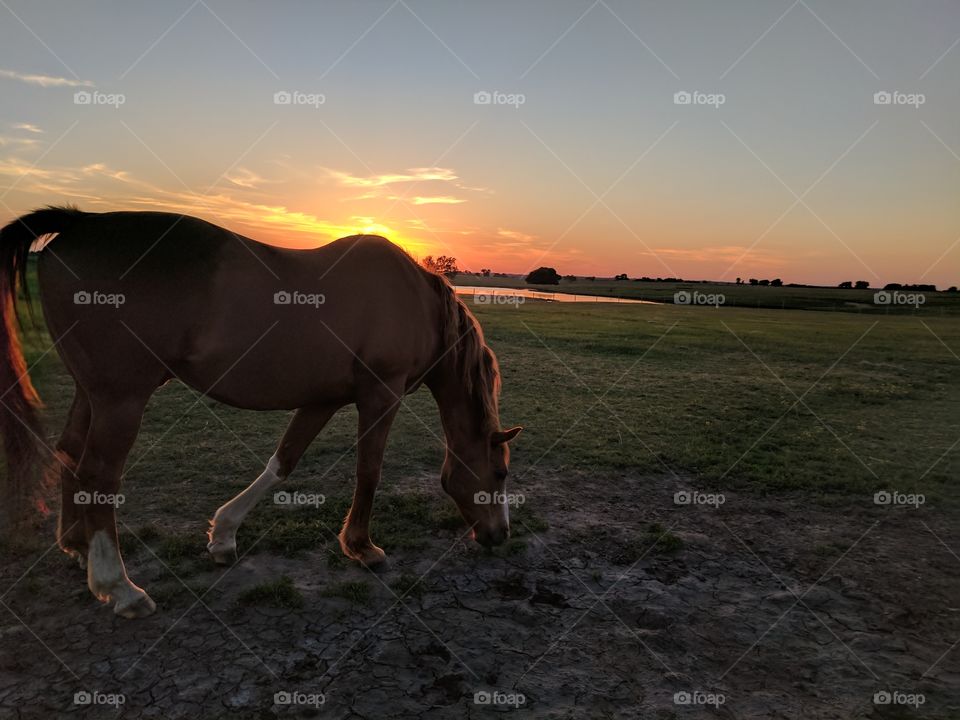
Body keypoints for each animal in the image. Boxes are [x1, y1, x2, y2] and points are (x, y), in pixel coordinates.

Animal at [0, 207, 520, 620]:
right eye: (499, 474)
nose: (499, 536)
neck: (415, 303)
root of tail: (80, 222)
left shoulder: (323, 398)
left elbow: (283, 461)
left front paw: (224, 535)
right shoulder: (380, 394)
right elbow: (368, 471)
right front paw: (362, 547)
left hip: (92, 394)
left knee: (69, 454)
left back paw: (76, 546)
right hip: (120, 398)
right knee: (99, 474)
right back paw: (120, 588)